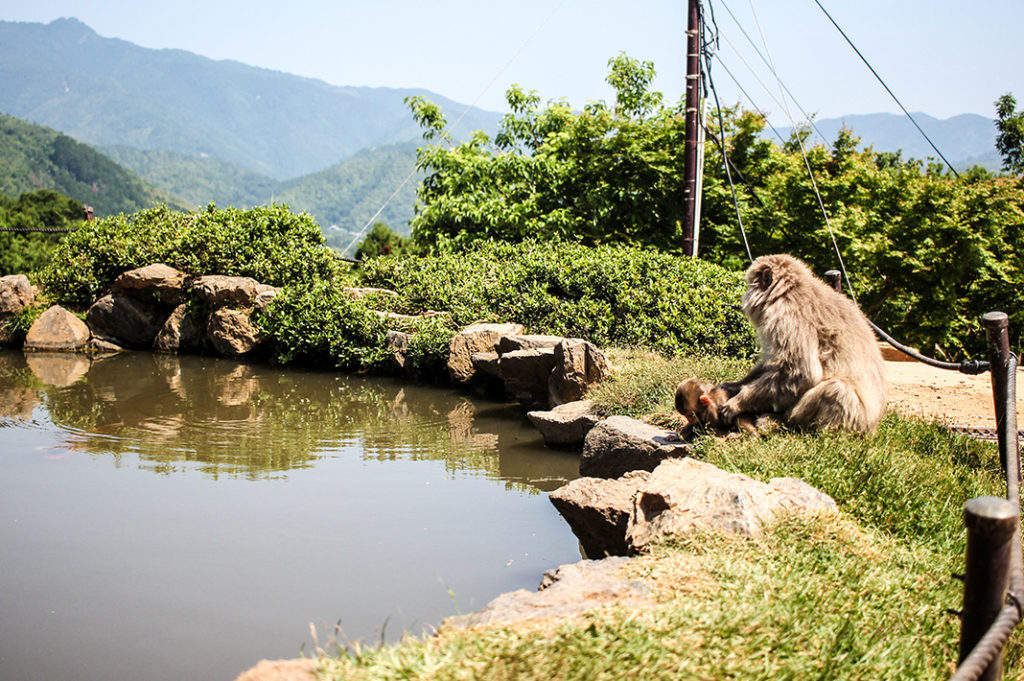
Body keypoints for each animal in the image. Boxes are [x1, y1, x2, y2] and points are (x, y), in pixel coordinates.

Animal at [720, 251, 888, 432]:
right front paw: (736, 386)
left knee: (837, 389)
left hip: (854, 420)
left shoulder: (786, 318)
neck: (786, 292)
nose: (746, 292)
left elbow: (803, 372)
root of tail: (871, 427)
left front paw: (738, 403)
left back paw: (782, 421)